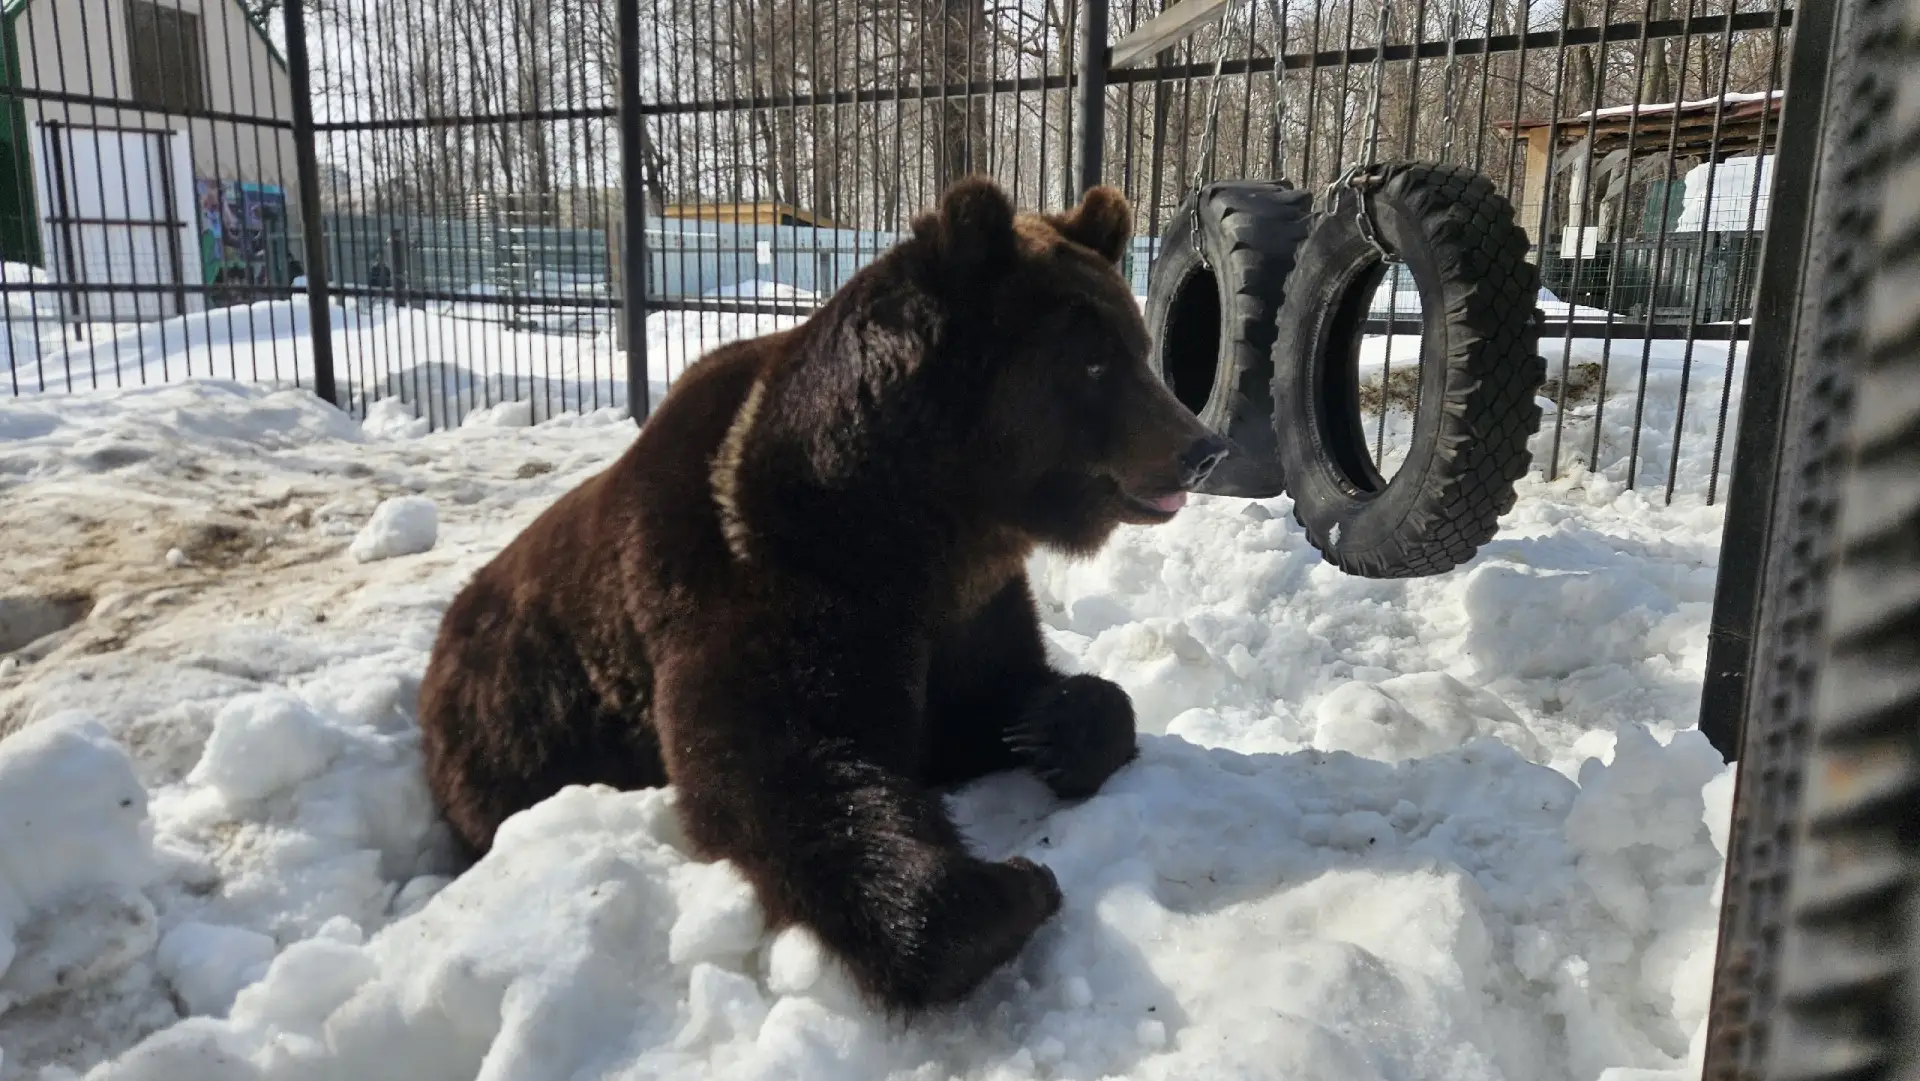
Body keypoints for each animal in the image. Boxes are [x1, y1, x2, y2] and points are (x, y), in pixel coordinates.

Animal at [416, 175, 1229, 1013]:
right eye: (1094, 361)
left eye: (1138, 346)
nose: (1202, 447)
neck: (923, 517)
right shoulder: (767, 578)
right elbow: (780, 765)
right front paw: (1008, 886)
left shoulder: (966, 607)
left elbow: (1007, 695)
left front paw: (1049, 724)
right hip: (514, 729)